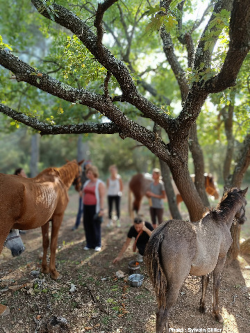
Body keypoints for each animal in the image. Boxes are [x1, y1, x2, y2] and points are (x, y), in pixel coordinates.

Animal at [145, 187, 248, 332]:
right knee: (162, 312)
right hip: (175, 283)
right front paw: (216, 313)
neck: (220, 221)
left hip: (161, 282)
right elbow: (216, 284)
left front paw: (202, 306)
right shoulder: (220, 259)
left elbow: (205, 281)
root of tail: (162, 232)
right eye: (245, 203)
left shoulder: (207, 264)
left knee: (161, 306)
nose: (244, 219)